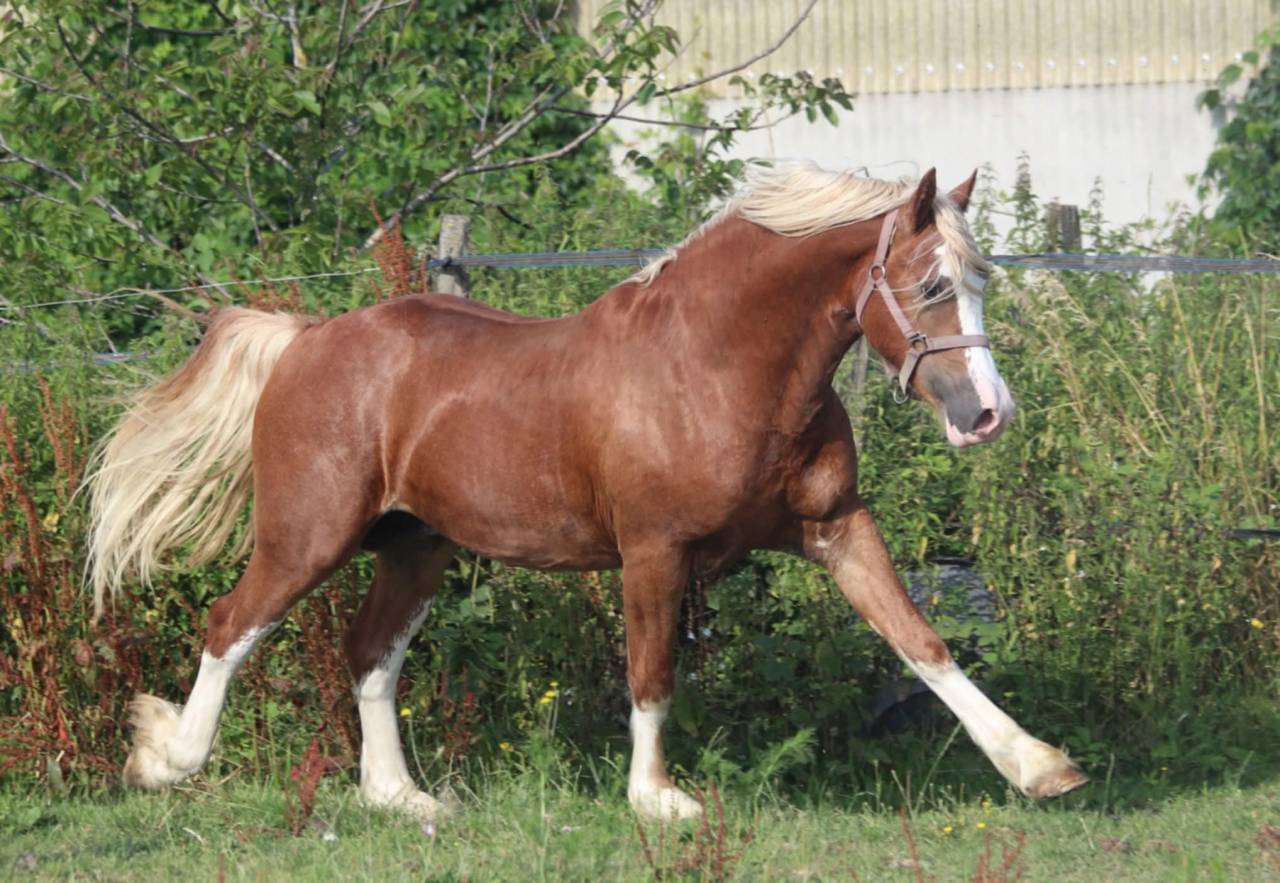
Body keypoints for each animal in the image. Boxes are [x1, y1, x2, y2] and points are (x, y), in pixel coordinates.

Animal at [87, 162, 1086, 821]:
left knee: (370, 652)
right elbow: (652, 672)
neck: (717, 366)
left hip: (415, 546)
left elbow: (923, 642)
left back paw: (404, 799)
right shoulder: (653, 552)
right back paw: (163, 760)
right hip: (307, 535)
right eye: (932, 282)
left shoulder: (838, 528)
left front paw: (1039, 765)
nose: (987, 413)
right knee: (231, 625)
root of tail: (304, 338)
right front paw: (657, 799)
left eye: (984, 280)